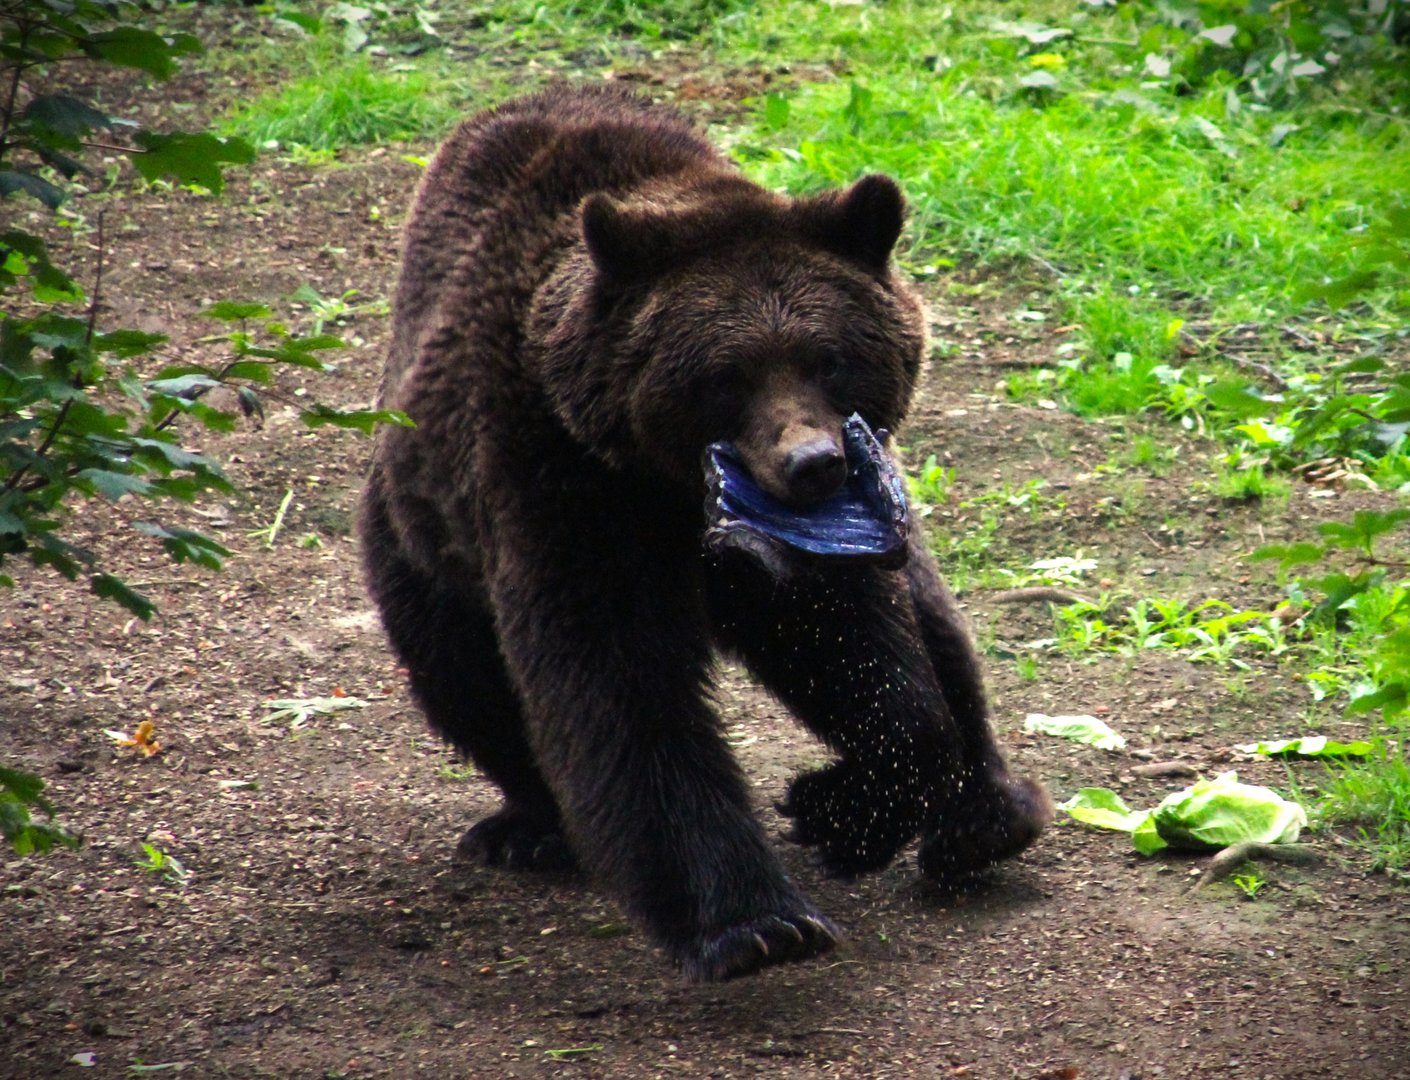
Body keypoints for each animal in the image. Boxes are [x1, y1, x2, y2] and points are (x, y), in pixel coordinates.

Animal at [359, 83, 1050, 983]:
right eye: (726, 376)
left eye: (828, 358)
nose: (811, 463)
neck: (678, 491)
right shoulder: (565, 488)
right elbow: (624, 692)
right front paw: (758, 924)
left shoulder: (820, 542)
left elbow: (865, 653)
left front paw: (838, 808)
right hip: (424, 535)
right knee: (460, 668)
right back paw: (530, 827)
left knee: (939, 628)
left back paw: (985, 821)